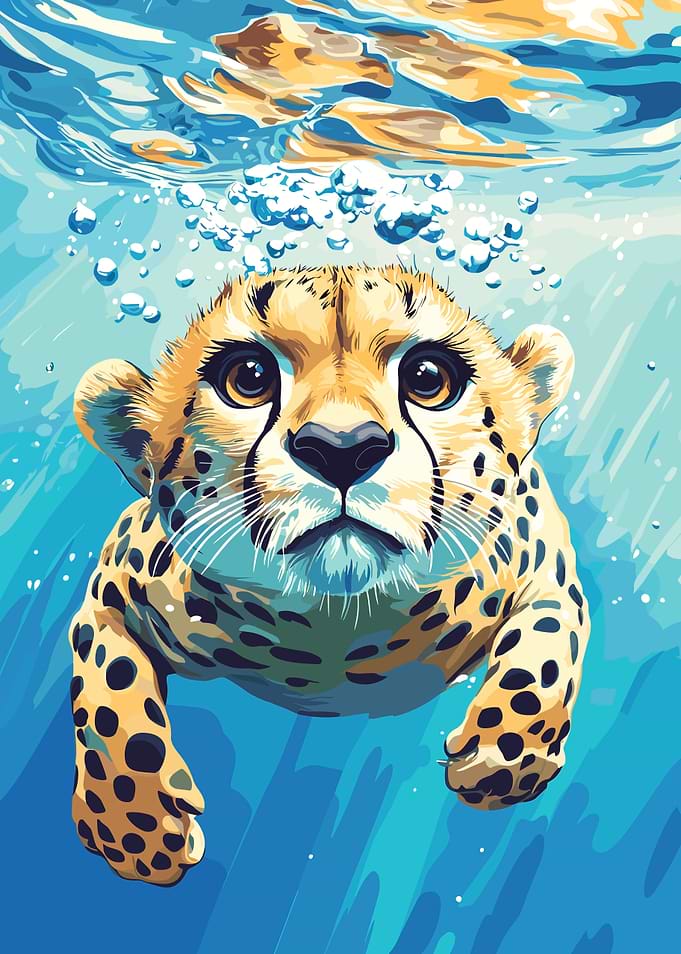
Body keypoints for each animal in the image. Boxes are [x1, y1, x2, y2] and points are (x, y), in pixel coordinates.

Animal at [69, 264, 589, 885]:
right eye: (248, 377)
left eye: (429, 377)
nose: (343, 448)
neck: (337, 628)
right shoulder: (111, 590)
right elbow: (107, 690)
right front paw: (135, 828)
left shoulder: (543, 558)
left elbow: (547, 645)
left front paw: (502, 755)